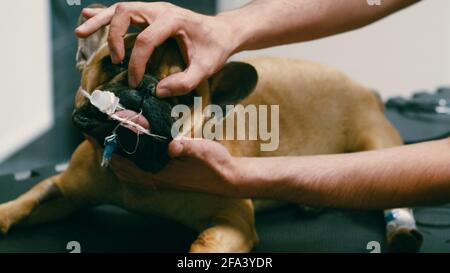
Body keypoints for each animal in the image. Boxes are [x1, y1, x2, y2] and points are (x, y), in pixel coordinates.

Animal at [0, 4, 424, 252]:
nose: (146, 87)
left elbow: (203, 244)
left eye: (186, 94)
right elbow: (25, 202)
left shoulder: (233, 221)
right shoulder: (65, 190)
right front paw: (5, 214)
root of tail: (366, 89)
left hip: (377, 147)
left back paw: (402, 231)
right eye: (115, 62)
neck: (137, 174)